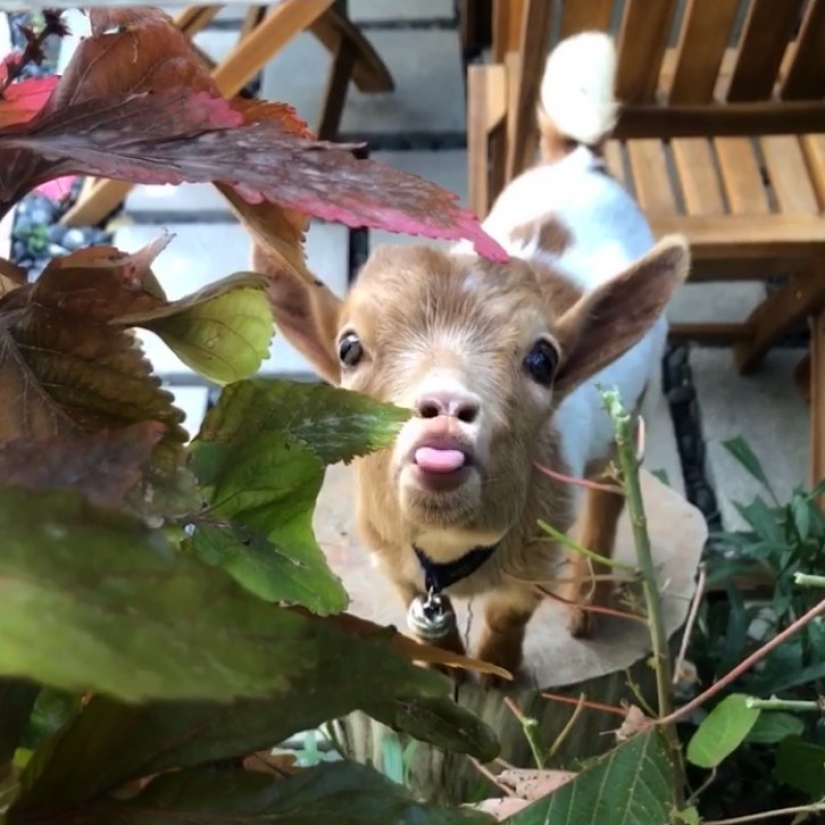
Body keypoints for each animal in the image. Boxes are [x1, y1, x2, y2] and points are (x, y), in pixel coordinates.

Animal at [261, 31, 690, 686]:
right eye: (349, 348)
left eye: (542, 360)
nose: (444, 407)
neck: (447, 551)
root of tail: (581, 162)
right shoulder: (394, 563)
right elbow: (429, 628)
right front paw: (448, 671)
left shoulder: (534, 556)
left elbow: (509, 618)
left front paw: (496, 675)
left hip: (633, 409)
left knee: (612, 490)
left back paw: (587, 605)